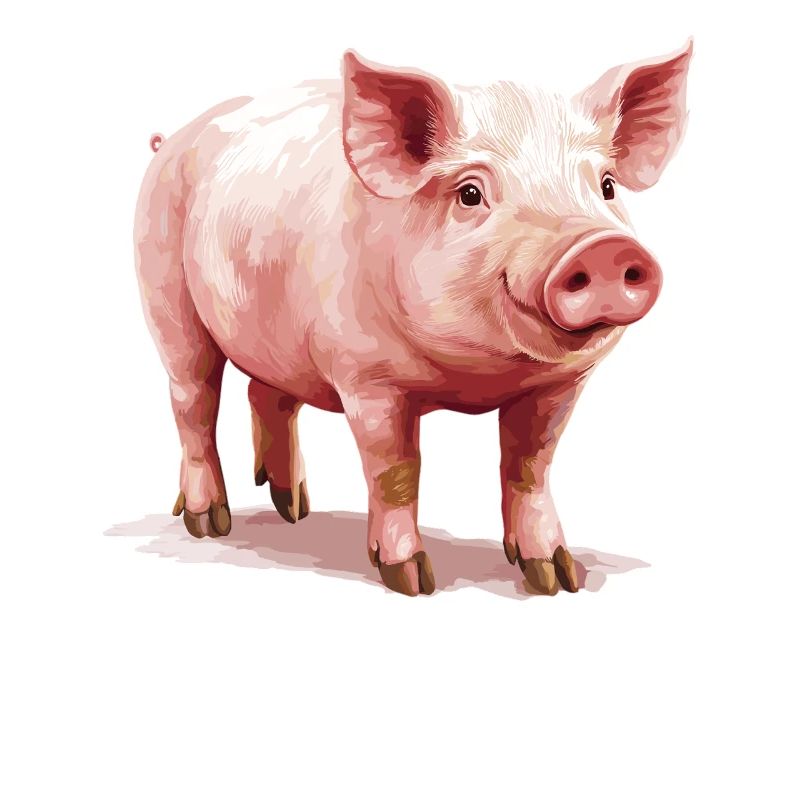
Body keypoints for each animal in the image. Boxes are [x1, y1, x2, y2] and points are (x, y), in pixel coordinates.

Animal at [134, 43, 692, 596]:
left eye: (606, 186)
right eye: (471, 193)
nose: (603, 247)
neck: (477, 377)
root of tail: (169, 141)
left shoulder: (559, 385)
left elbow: (530, 466)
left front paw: (558, 579)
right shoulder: (368, 378)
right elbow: (397, 471)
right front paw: (410, 579)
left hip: (275, 337)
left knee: (267, 395)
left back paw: (294, 508)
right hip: (165, 295)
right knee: (193, 402)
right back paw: (209, 522)